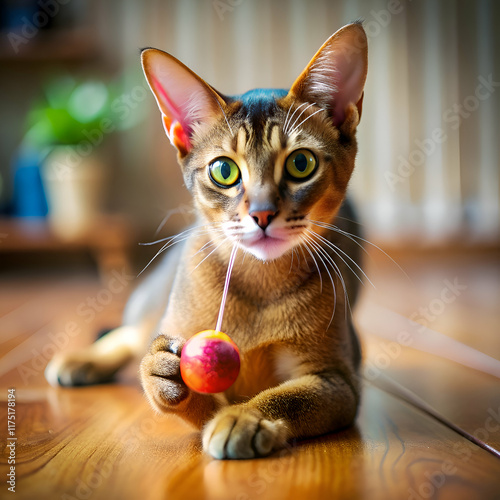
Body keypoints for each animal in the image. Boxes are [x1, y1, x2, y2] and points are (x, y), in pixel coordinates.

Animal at [47, 23, 368, 460]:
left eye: (301, 163)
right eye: (223, 171)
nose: (262, 214)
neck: (259, 287)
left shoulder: (337, 380)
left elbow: (288, 397)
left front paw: (244, 417)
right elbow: (173, 382)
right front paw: (163, 376)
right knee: (130, 332)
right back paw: (82, 361)